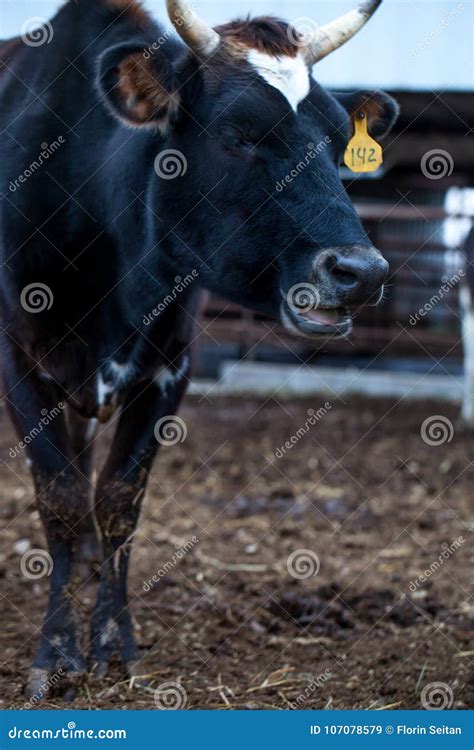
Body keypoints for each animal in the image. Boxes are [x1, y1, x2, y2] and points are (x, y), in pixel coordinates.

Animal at [0, 0, 398, 700]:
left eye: (335, 142)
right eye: (239, 135)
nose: (363, 271)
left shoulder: (169, 366)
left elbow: (117, 499)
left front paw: (114, 645)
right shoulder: (18, 359)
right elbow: (62, 497)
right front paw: (57, 653)